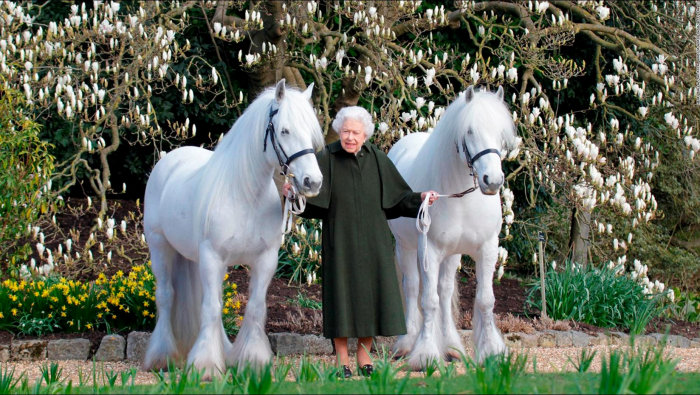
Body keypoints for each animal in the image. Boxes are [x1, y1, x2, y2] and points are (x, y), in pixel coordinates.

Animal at [140, 79, 326, 378]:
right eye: (284, 130)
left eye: (310, 133)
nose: (312, 182)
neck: (245, 195)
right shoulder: (212, 257)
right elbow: (211, 309)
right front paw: (205, 366)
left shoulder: (265, 260)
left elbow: (254, 308)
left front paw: (252, 361)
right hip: (161, 248)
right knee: (166, 297)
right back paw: (162, 357)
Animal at [392, 85, 516, 370]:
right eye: (469, 131)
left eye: (501, 133)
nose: (493, 181)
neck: (462, 198)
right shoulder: (429, 250)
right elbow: (428, 301)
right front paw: (425, 354)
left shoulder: (487, 249)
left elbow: (484, 300)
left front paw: (492, 351)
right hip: (406, 248)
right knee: (413, 288)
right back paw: (407, 343)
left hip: (452, 255)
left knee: (445, 290)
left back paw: (451, 347)